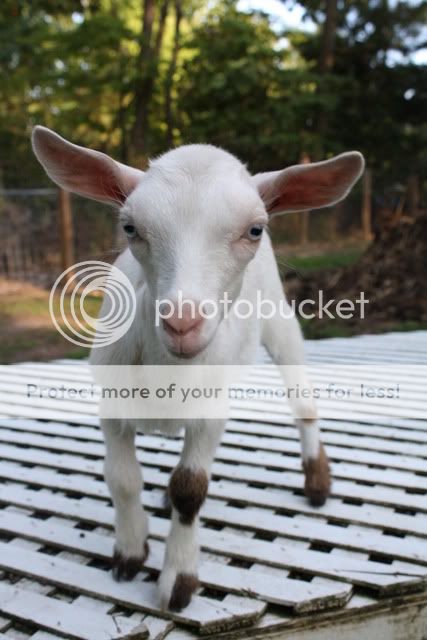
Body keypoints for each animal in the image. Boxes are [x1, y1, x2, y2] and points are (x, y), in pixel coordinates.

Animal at [32, 126, 364, 611]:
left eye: (254, 229)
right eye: (130, 227)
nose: (182, 322)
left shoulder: (212, 411)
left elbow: (190, 489)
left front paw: (179, 580)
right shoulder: (111, 402)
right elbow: (122, 479)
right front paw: (130, 551)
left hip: (281, 320)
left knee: (301, 396)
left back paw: (317, 479)